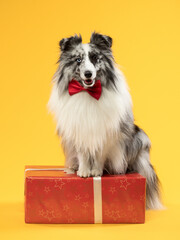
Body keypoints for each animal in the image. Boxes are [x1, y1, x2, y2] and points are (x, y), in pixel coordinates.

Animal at [47, 32, 163, 210]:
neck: (88, 93)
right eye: (78, 60)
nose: (88, 74)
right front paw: (84, 171)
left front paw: (96, 172)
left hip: (140, 137)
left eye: (95, 58)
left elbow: (99, 155)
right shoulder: (78, 130)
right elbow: (83, 154)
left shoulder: (105, 133)